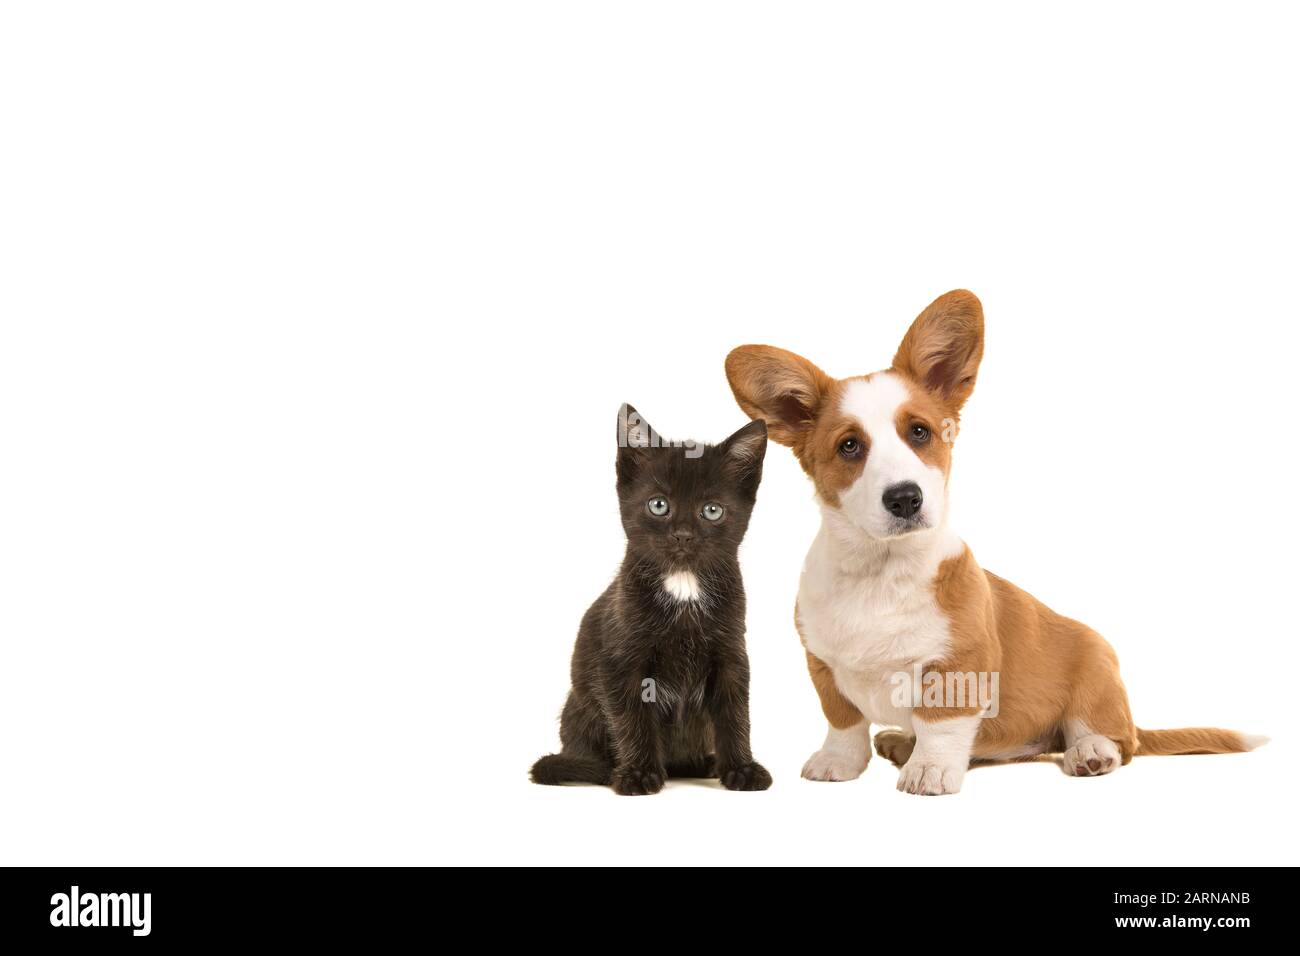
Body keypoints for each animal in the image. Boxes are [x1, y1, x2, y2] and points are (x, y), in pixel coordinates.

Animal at [530, 403, 769, 790]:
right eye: (658, 505)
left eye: (712, 510)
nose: (683, 535)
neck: (684, 585)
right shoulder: (621, 660)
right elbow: (632, 717)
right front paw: (639, 773)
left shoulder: (731, 653)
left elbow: (735, 714)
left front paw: (742, 769)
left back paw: (702, 762)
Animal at [728, 290, 1263, 790]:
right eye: (849, 446)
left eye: (919, 432)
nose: (905, 498)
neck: (881, 570)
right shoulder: (823, 663)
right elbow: (844, 721)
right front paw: (840, 762)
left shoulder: (960, 666)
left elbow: (940, 724)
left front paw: (929, 771)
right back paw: (901, 743)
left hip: (1096, 672)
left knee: (1114, 738)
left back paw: (1090, 751)